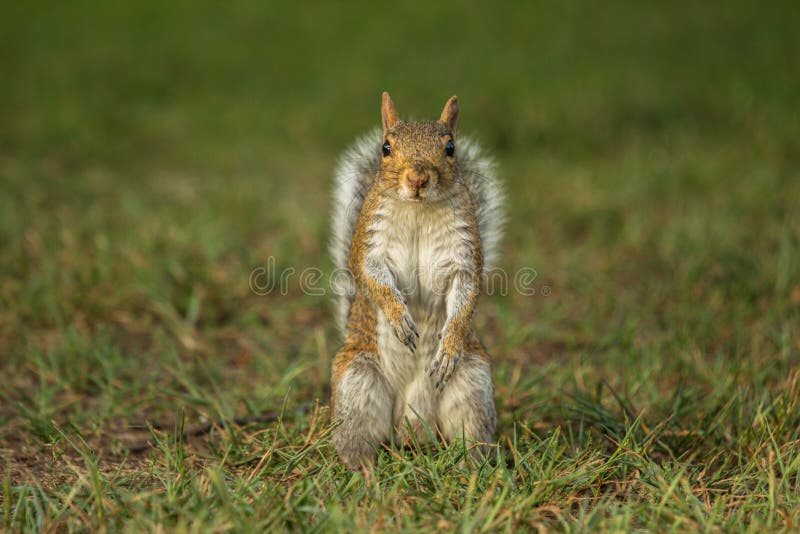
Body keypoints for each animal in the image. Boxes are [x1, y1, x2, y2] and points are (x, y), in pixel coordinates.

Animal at [329, 92, 504, 470]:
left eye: (450, 148)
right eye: (386, 147)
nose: (418, 179)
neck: (418, 210)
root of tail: (410, 423)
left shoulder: (463, 256)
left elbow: (466, 294)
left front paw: (449, 345)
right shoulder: (369, 245)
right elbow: (373, 279)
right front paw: (399, 317)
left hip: (473, 383)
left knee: (470, 434)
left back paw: (471, 466)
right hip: (357, 381)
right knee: (356, 440)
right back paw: (363, 470)